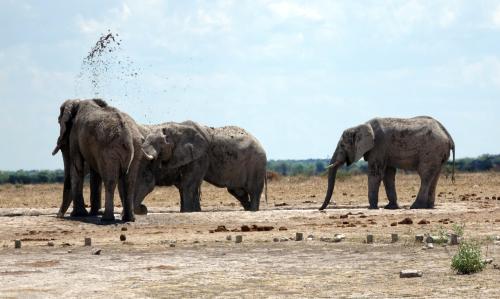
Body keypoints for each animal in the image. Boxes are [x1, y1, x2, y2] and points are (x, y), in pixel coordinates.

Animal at [139, 122, 268, 213]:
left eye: (159, 143)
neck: (176, 128)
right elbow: (185, 183)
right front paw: (192, 211)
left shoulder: (201, 155)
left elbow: (188, 183)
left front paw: (187, 212)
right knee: (238, 191)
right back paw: (248, 208)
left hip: (256, 164)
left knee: (253, 190)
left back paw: (253, 210)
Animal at [318, 116, 456, 210]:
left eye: (342, 145)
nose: (320, 209)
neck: (360, 126)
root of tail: (448, 135)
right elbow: (388, 175)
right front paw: (390, 207)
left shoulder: (379, 146)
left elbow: (375, 173)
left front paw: (372, 207)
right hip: (438, 153)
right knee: (435, 176)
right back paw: (428, 207)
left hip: (431, 150)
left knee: (425, 175)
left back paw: (415, 206)